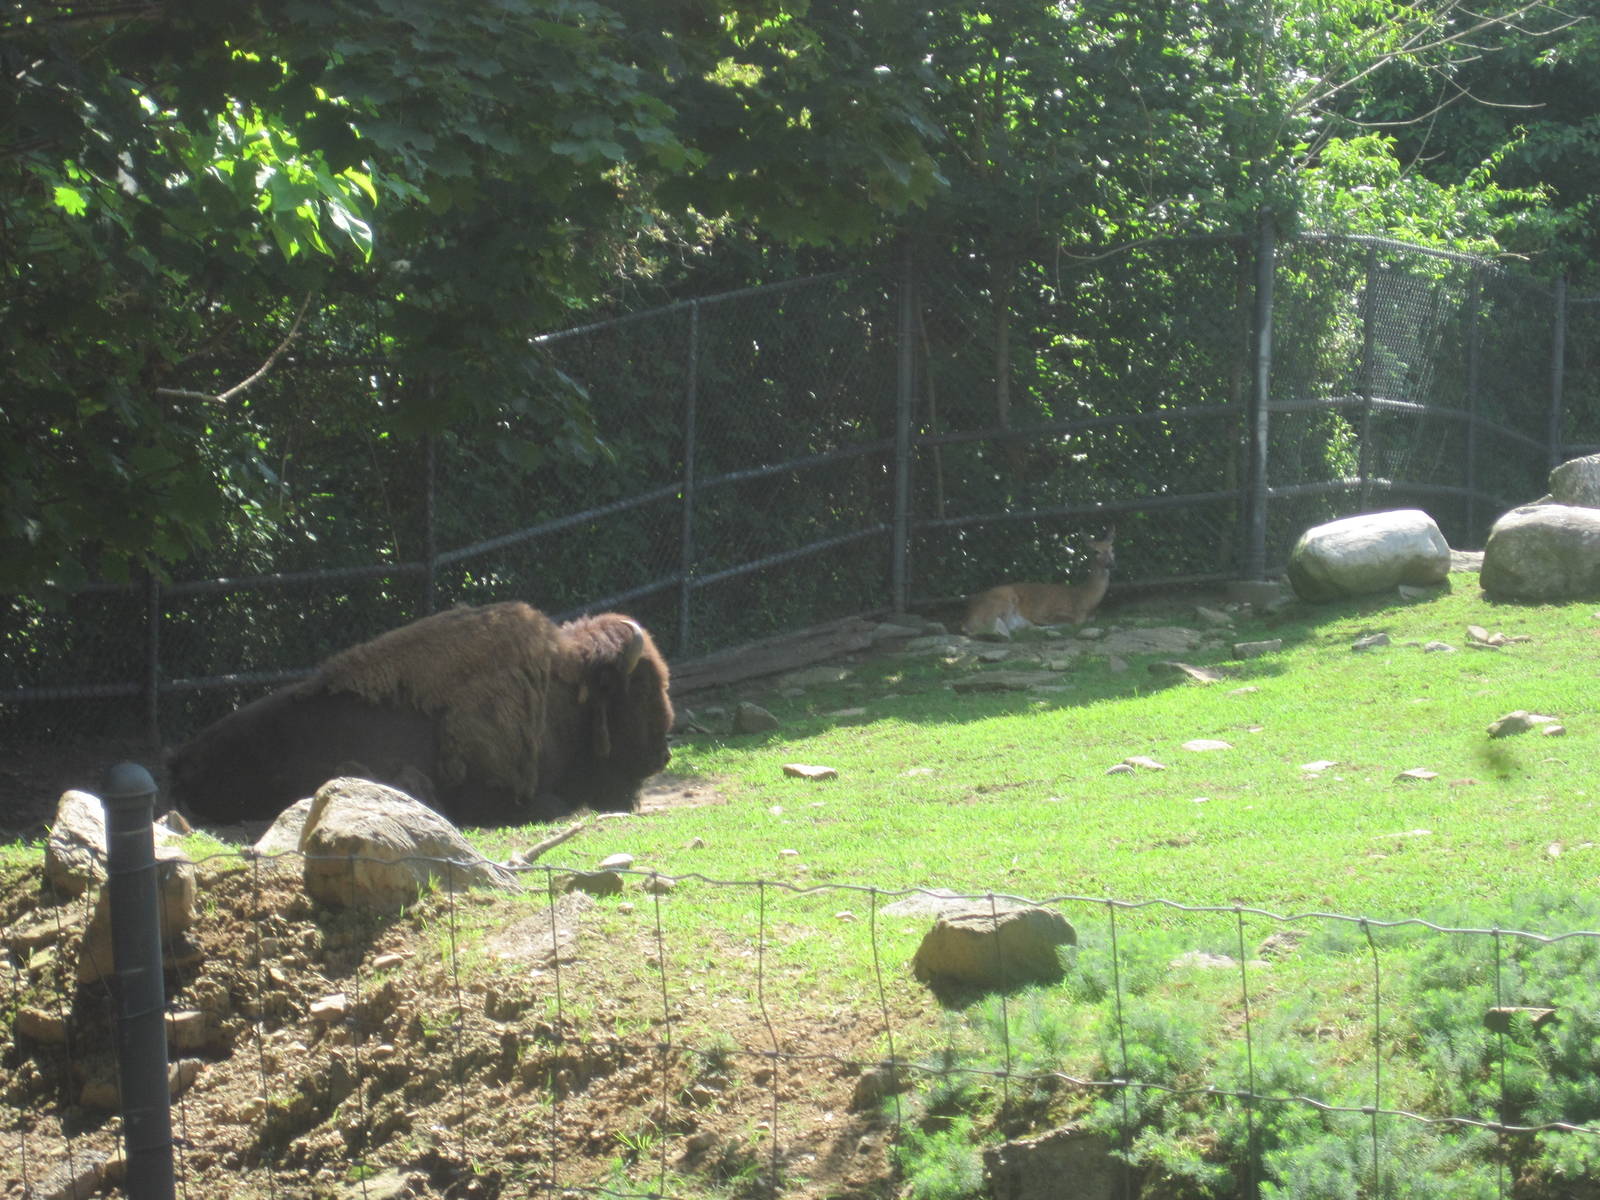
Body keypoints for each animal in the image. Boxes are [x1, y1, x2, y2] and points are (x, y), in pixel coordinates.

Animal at [167, 602, 674, 827]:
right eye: (641, 687)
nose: (663, 755)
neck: (563, 694)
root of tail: (178, 757)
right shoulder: (497, 795)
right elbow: (555, 806)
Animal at [960, 528, 1116, 640]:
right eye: (1095, 551)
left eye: (1112, 549)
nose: (1110, 564)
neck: (1084, 598)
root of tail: (967, 619)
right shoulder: (1049, 612)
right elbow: (1074, 621)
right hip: (1003, 601)